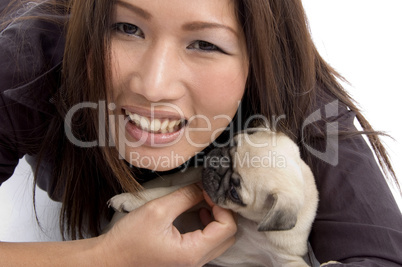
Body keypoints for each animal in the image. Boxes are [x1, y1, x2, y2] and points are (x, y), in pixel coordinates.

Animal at [107, 129, 324, 266]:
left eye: (234, 193)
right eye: (231, 143)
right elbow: (165, 193)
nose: (217, 163)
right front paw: (131, 199)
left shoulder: (286, 258)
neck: (250, 223)